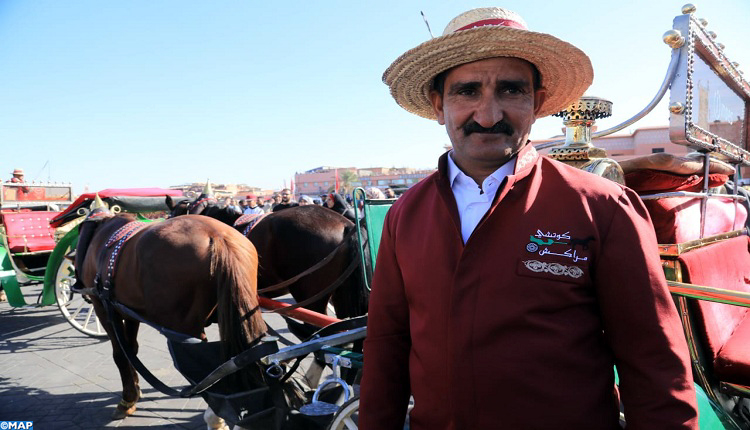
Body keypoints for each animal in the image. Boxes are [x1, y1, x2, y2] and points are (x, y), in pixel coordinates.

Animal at [75, 210, 268, 418]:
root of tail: (216, 235)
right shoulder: (130, 312)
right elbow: (131, 350)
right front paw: (135, 391)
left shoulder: (104, 308)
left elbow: (120, 354)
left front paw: (127, 399)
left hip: (184, 328)